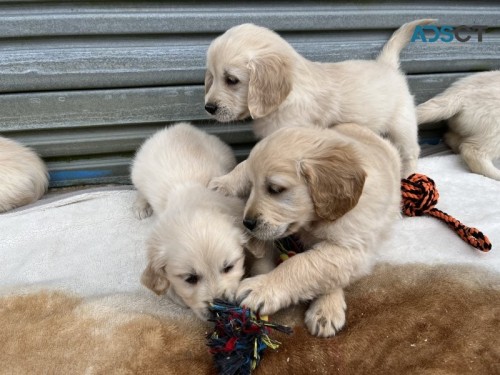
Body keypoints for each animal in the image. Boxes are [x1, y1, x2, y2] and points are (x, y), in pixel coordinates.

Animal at [234, 123, 402, 338]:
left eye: (275, 189)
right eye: (252, 186)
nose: (247, 222)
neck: (316, 220)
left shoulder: (351, 248)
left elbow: (304, 263)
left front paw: (262, 287)